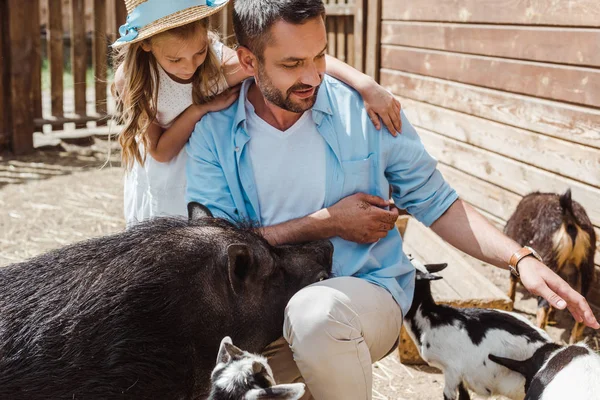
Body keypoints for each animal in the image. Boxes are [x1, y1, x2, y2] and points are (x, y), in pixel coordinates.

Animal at [506, 189, 596, 342]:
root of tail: (568, 214)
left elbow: (512, 279)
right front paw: (553, 319)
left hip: (547, 260)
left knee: (543, 306)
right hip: (587, 264)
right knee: (582, 309)